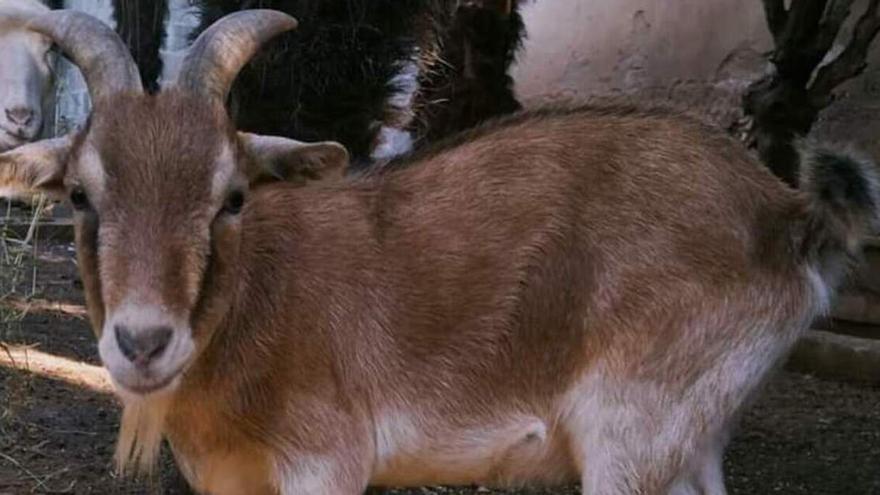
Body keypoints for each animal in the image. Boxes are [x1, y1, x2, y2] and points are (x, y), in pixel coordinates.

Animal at [1, 7, 880, 495]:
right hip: (691, 436)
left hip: (633, 433)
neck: (256, 305)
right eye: (81, 194)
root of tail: (786, 212)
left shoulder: (327, 462)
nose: (144, 342)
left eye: (232, 196)